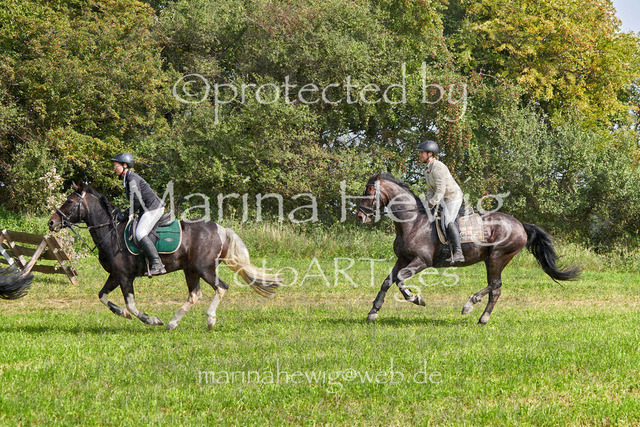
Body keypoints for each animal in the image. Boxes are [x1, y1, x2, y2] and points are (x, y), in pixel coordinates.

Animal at [47, 182, 281, 330]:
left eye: (69, 202)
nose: (51, 222)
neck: (110, 231)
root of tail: (220, 229)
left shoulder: (124, 276)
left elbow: (130, 304)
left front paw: (150, 320)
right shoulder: (115, 275)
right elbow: (103, 296)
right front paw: (123, 314)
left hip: (205, 268)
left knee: (221, 287)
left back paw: (209, 320)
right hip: (191, 270)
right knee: (194, 294)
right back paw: (173, 323)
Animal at [355, 173, 580, 324]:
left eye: (369, 192)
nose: (359, 217)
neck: (412, 222)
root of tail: (520, 225)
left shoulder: (422, 261)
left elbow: (400, 279)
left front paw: (415, 298)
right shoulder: (402, 259)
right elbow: (388, 281)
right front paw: (373, 311)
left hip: (497, 257)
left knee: (495, 285)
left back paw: (472, 306)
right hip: (494, 259)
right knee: (495, 288)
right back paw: (481, 315)